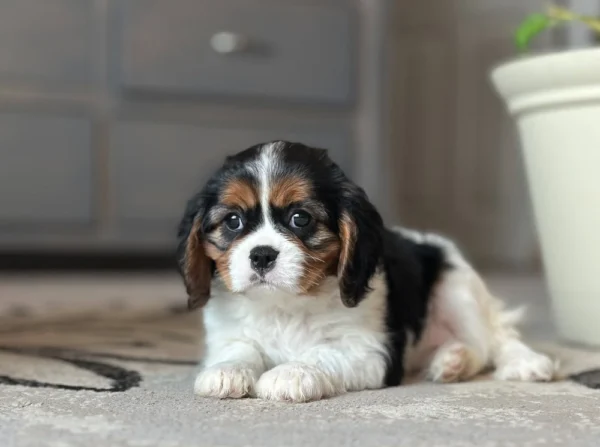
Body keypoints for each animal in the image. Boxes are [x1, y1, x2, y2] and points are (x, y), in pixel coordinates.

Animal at [176, 142, 556, 404]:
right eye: (233, 221)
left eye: (301, 219)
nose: (262, 255)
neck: (285, 304)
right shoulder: (228, 335)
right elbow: (240, 350)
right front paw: (225, 372)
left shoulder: (369, 351)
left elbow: (322, 353)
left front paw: (291, 373)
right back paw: (451, 360)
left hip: (457, 288)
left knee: (494, 340)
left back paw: (518, 362)